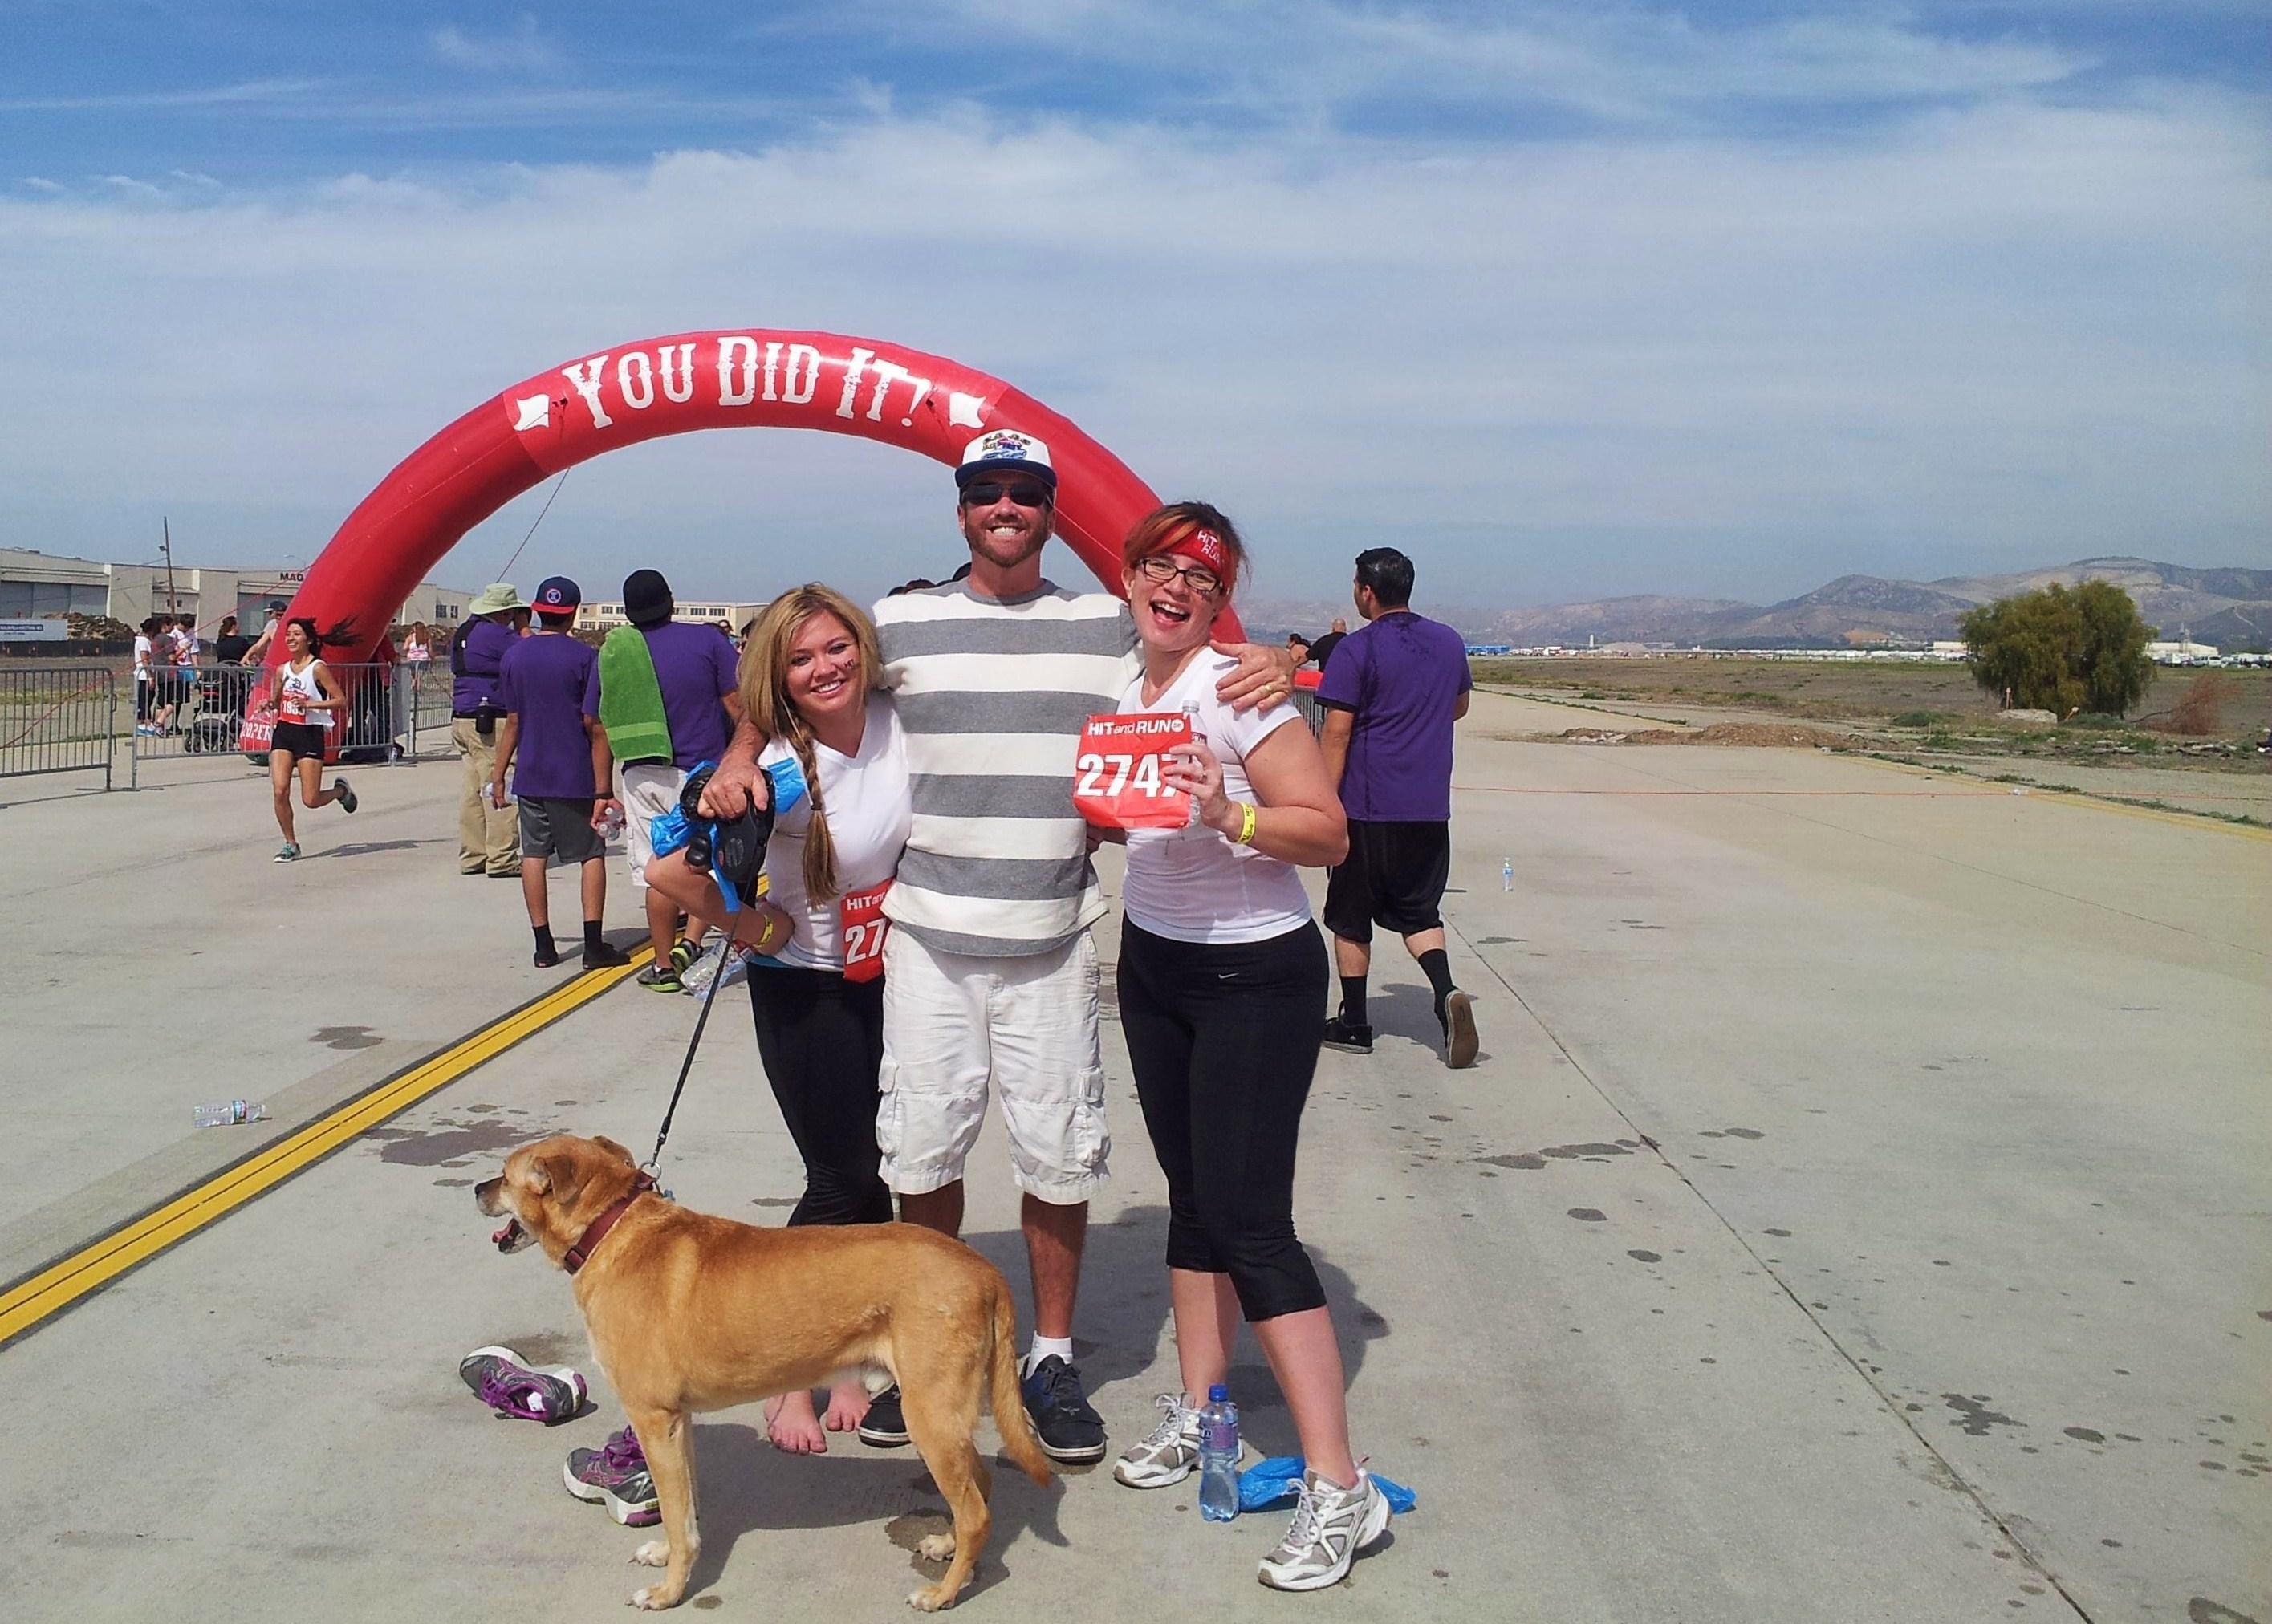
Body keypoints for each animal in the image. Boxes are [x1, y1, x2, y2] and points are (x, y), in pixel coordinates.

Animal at [477, 1135, 1054, 1608]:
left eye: (504, 1174)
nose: (478, 1190)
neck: (611, 1227)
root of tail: (984, 1270)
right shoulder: (678, 1422)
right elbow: (683, 1510)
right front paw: (666, 1556)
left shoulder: (653, 1419)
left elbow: (676, 1513)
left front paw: (668, 1592)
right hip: (945, 1414)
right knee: (979, 1487)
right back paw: (950, 1549)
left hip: (928, 1413)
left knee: (975, 1510)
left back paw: (942, 1594)